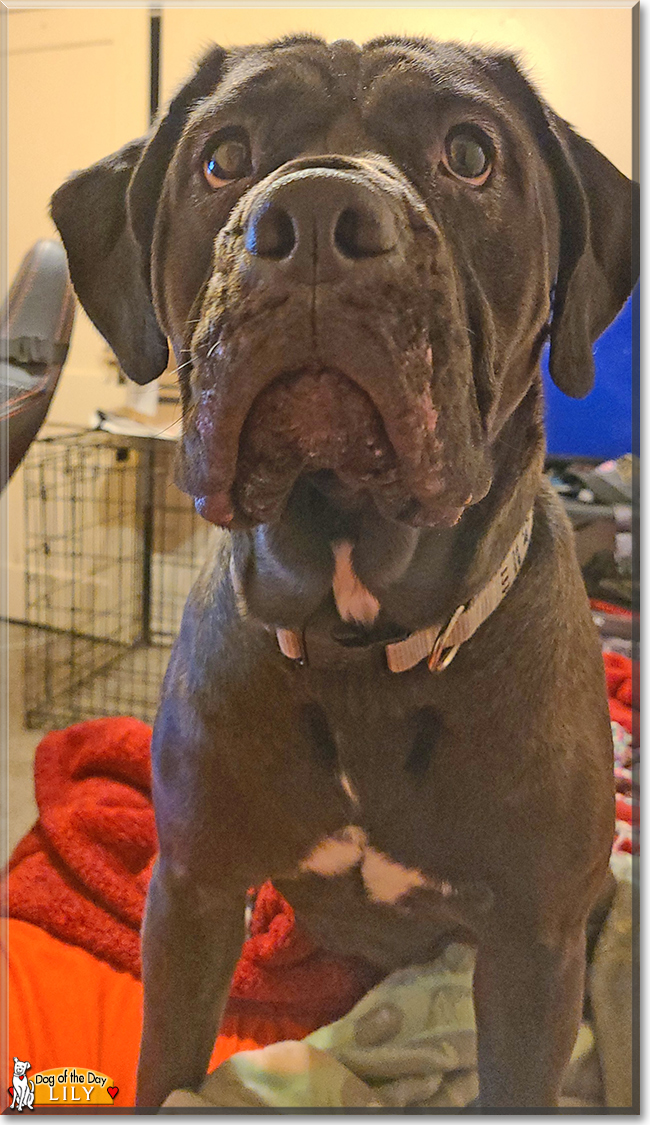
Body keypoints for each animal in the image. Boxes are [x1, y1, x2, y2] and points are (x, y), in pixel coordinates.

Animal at [50, 32, 634, 1107]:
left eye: (470, 153)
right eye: (223, 157)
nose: (317, 215)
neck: (359, 632)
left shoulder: (535, 948)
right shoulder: (192, 894)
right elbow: (166, 1066)